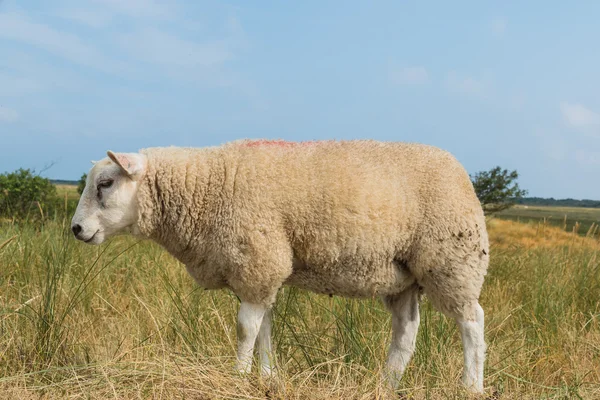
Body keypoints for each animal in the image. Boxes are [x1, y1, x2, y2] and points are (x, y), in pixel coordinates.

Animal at [72, 140, 490, 394]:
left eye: (106, 183)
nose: (76, 229)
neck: (207, 186)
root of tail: (459, 170)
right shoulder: (261, 272)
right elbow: (264, 330)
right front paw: (268, 377)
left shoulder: (258, 261)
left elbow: (245, 329)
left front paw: (237, 377)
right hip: (402, 277)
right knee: (406, 332)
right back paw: (386, 385)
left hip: (453, 260)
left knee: (472, 322)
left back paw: (471, 385)